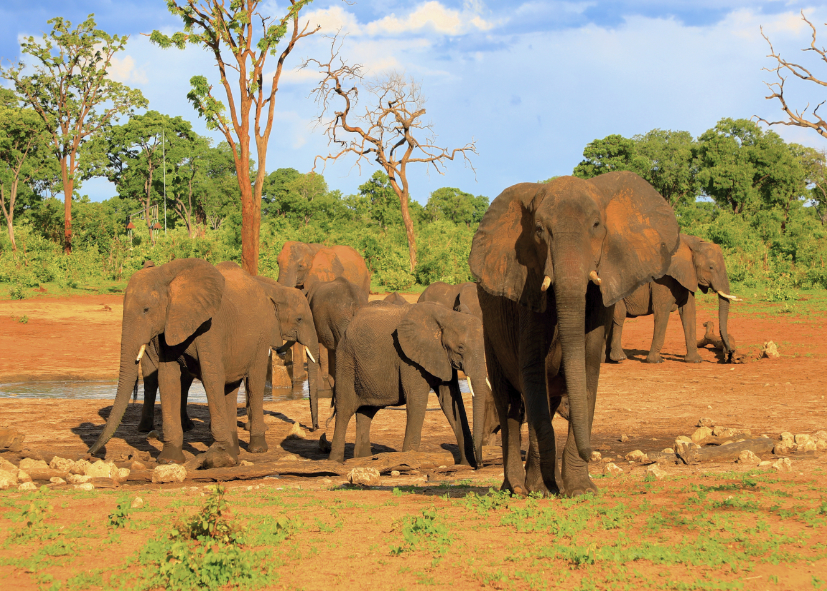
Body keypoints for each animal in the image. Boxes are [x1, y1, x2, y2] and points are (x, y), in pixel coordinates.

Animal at [87, 260, 282, 468]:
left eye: (146, 309)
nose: (91, 453)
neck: (168, 277)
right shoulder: (169, 326)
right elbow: (168, 379)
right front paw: (169, 460)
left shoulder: (210, 327)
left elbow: (212, 377)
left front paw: (220, 457)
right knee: (230, 389)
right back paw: (235, 451)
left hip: (262, 335)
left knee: (254, 383)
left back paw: (257, 448)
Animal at [326, 302, 488, 470]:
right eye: (461, 347)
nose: (479, 465)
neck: (446, 315)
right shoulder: (408, 358)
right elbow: (417, 400)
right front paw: (408, 463)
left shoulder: (442, 357)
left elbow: (450, 402)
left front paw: (465, 464)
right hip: (346, 361)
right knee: (345, 410)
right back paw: (334, 462)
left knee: (366, 412)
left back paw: (364, 459)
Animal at [472, 173, 680, 498]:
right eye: (539, 231)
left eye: (596, 225)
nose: (591, 453)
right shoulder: (529, 290)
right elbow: (532, 372)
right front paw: (542, 490)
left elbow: (587, 367)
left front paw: (580, 490)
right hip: (490, 333)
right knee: (510, 405)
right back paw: (516, 488)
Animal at [604, 236, 740, 366]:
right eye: (711, 267)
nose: (730, 352)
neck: (690, 243)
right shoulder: (661, 279)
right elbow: (662, 312)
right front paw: (656, 361)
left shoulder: (688, 275)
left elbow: (688, 312)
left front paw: (695, 360)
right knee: (619, 316)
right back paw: (618, 358)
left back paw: (607, 360)